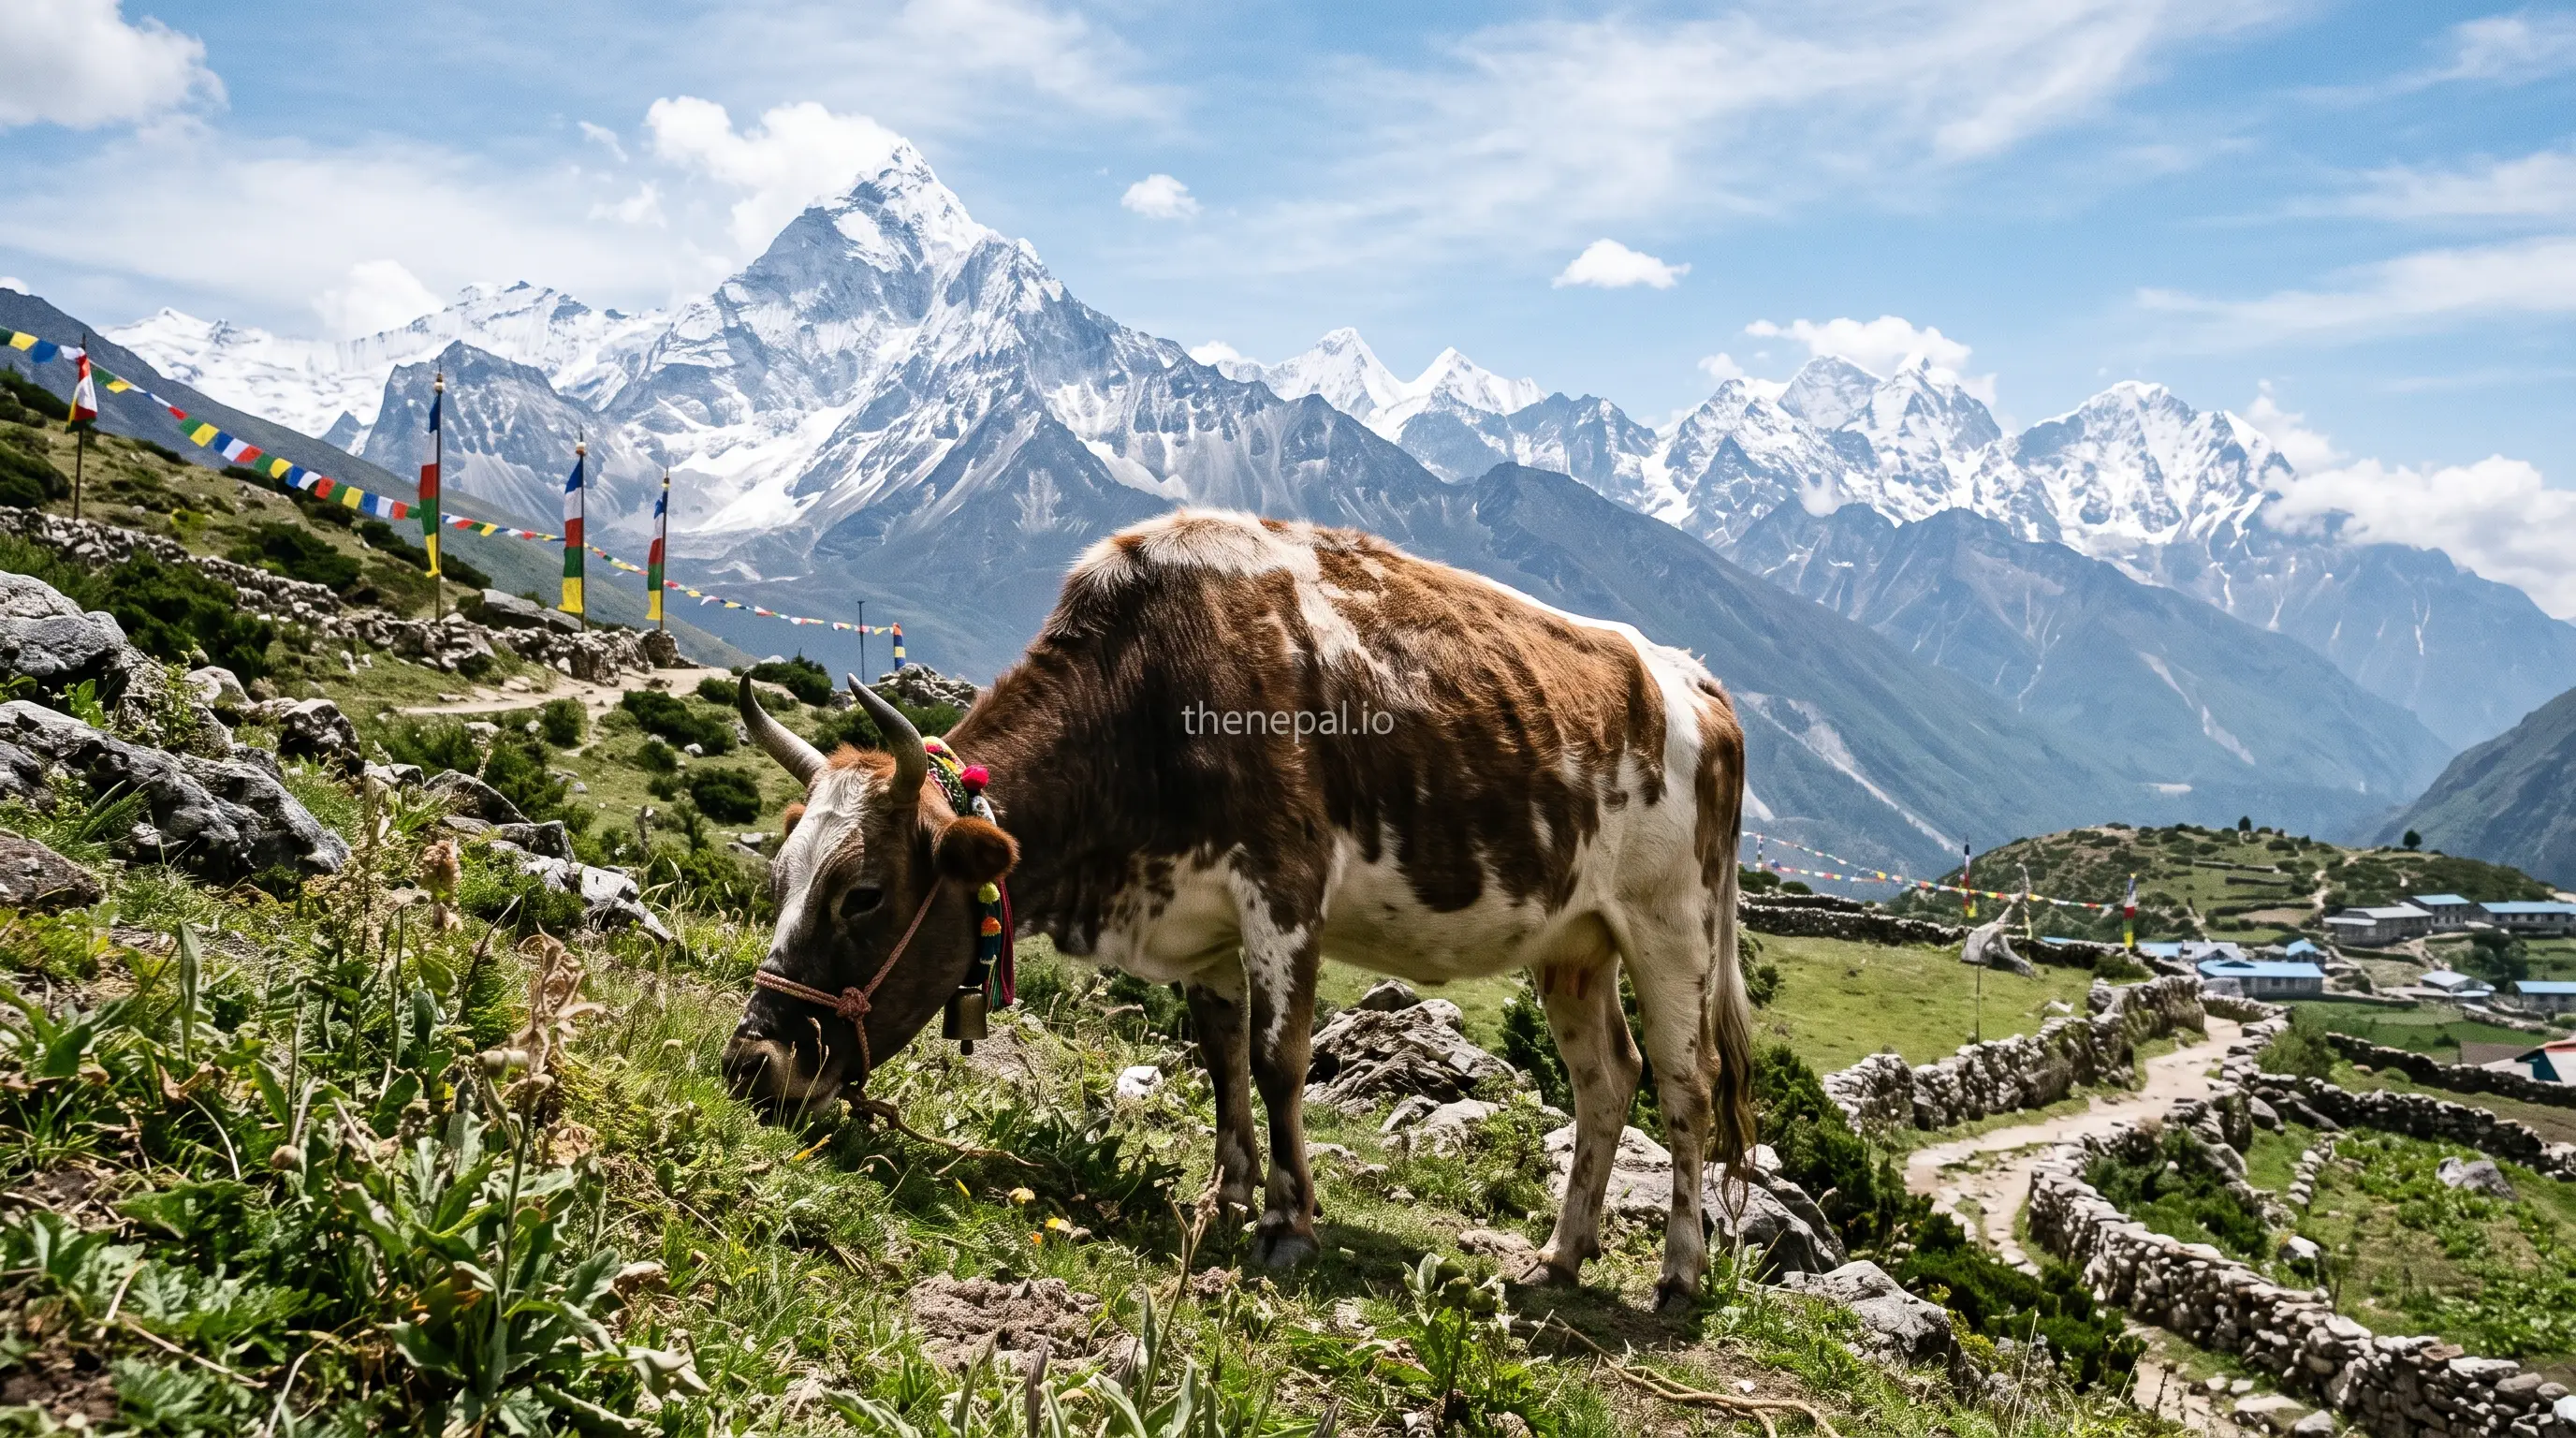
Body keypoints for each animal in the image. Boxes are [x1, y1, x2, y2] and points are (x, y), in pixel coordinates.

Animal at [723, 508, 1756, 1308]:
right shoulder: (1203, 917)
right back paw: (1560, 1257)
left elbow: (1274, 1059)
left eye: (862, 893)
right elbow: (1220, 1057)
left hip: (1672, 927)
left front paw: (1287, 1221)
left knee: (1686, 1084)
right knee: (1606, 1079)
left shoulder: (1282, 889)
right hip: (1573, 942)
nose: (750, 1063)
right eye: (780, 882)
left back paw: (1679, 1274)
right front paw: (1223, 1192)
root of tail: (1691, 679)